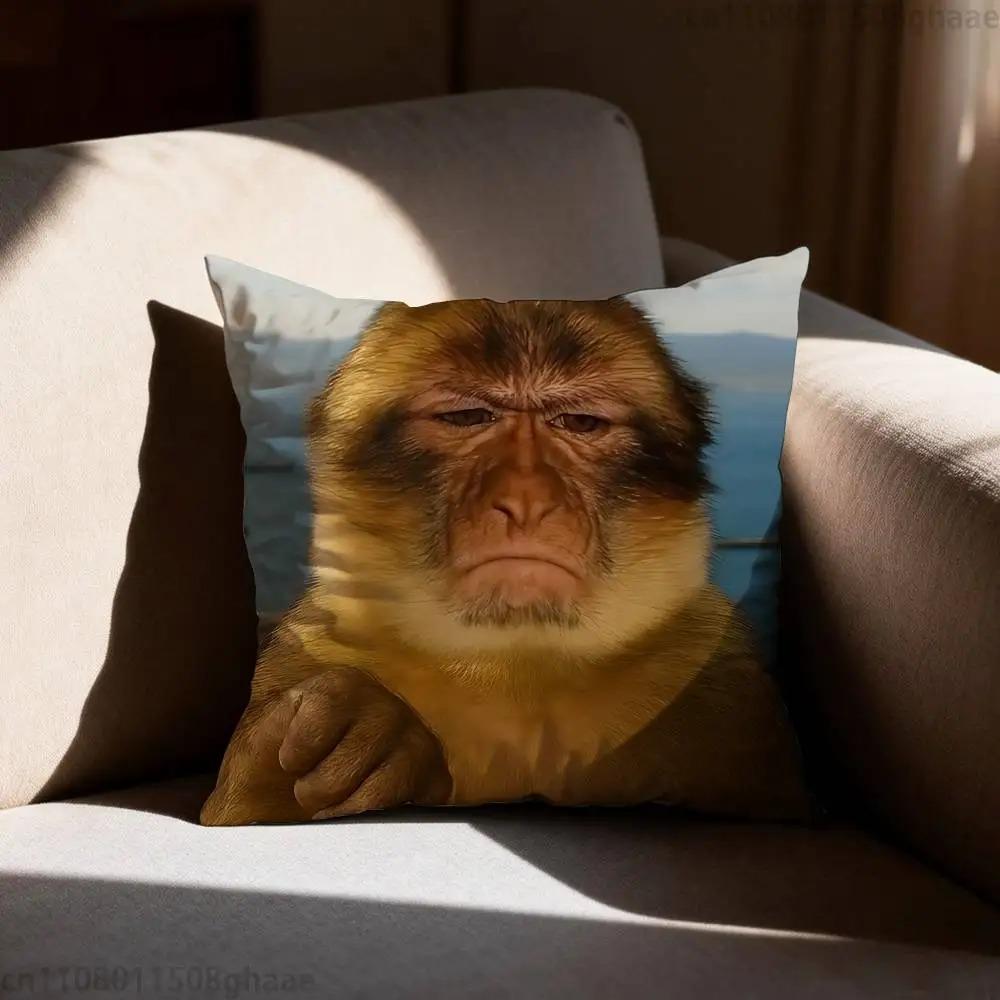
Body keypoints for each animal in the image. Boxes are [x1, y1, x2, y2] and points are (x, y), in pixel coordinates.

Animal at [200, 296, 811, 826]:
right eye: (468, 416)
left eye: (580, 423)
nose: (526, 498)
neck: (512, 660)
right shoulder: (313, 645)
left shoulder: (722, 683)